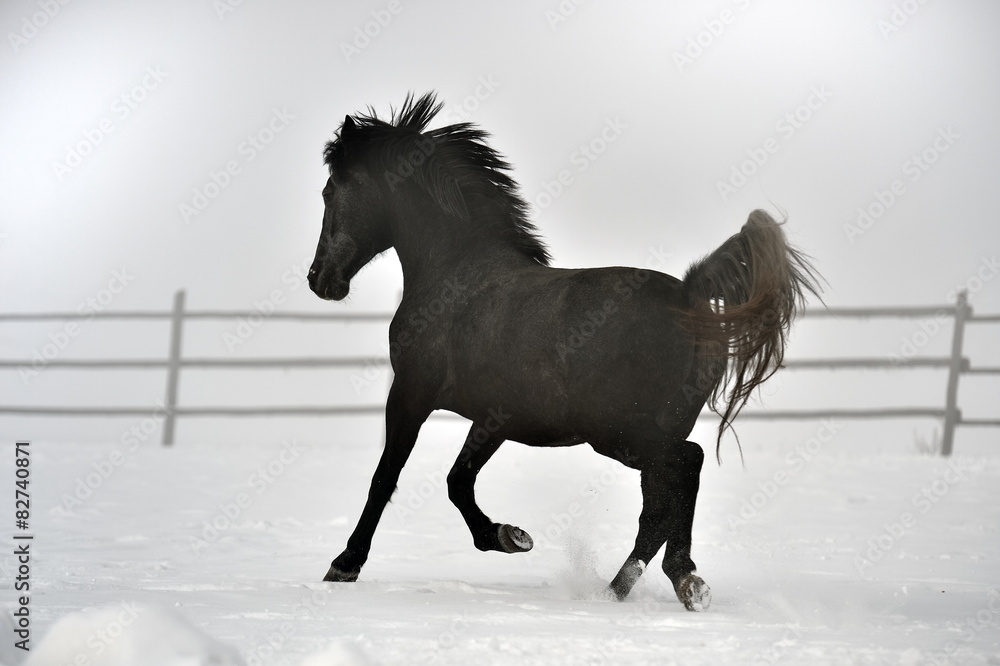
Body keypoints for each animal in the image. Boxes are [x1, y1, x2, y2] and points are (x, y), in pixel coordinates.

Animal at [308, 92, 821, 611]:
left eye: (329, 191)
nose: (319, 279)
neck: (455, 276)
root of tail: (688, 296)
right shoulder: (495, 417)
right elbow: (458, 481)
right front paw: (509, 536)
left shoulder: (411, 392)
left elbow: (385, 477)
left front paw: (344, 565)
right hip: (642, 431)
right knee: (663, 498)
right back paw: (649, 584)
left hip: (619, 432)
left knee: (685, 468)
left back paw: (655, 583)